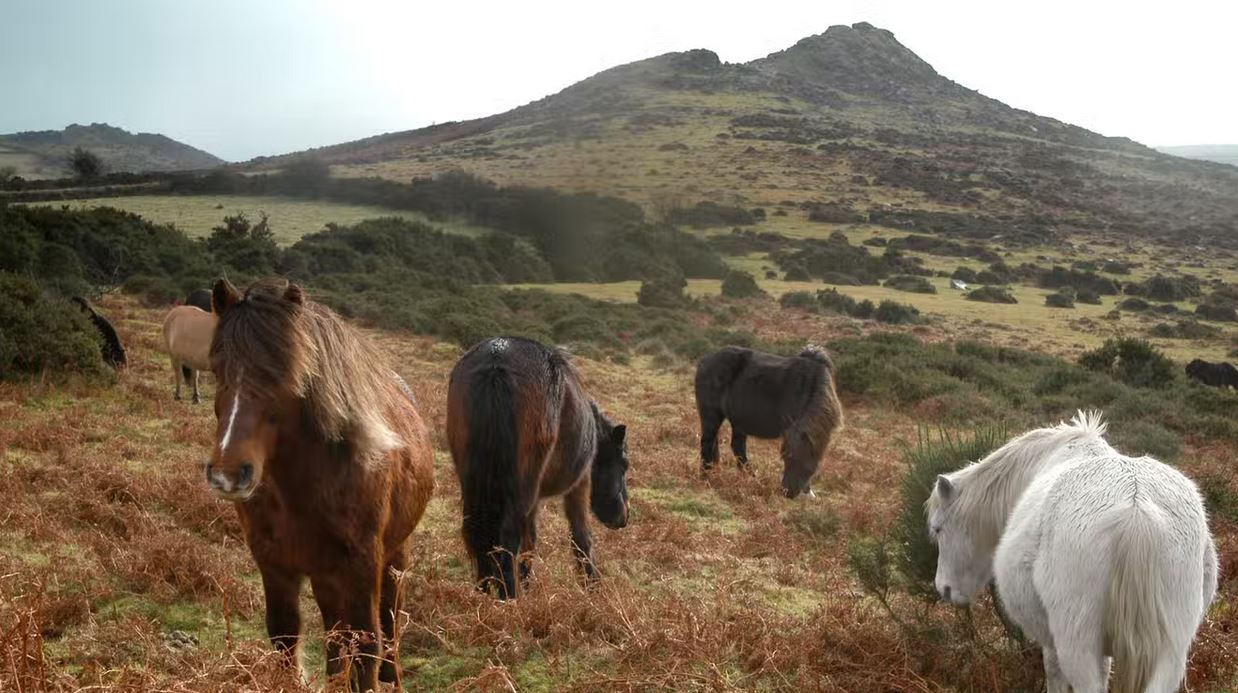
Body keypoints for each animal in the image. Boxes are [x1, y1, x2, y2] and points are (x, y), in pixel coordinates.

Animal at [205, 274, 433, 688]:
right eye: (216, 368)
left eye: (283, 372)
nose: (227, 473)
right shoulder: (275, 564)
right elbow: (285, 634)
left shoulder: (362, 564)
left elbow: (367, 642)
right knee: (335, 632)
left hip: (393, 555)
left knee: (389, 619)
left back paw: (392, 678)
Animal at [445, 334, 628, 596]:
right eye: (624, 465)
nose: (623, 517)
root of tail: (496, 361)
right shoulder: (580, 484)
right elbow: (581, 537)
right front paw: (593, 587)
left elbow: (530, 542)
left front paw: (527, 582)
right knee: (507, 538)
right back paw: (509, 597)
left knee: (477, 531)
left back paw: (483, 591)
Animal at [693, 344, 846, 494]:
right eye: (785, 456)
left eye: (809, 462)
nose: (788, 492)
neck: (811, 386)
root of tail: (705, 360)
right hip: (712, 415)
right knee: (708, 442)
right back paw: (706, 477)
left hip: (738, 421)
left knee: (736, 447)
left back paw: (750, 478)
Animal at [930, 410, 1218, 693]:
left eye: (937, 529)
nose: (944, 588)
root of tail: (1136, 511)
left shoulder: (1052, 642)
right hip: (1171, 652)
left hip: (1078, 645)